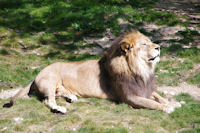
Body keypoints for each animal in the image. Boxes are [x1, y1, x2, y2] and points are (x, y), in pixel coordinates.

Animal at [3, 30, 181, 113]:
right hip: (50, 80)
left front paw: (173, 102)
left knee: (58, 93)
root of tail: (37, 74)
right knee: (49, 100)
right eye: (144, 44)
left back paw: (71, 97)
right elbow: (151, 102)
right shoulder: (129, 96)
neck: (140, 69)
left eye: (150, 41)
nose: (159, 47)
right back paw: (60, 108)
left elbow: (158, 95)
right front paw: (167, 107)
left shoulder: (144, 88)